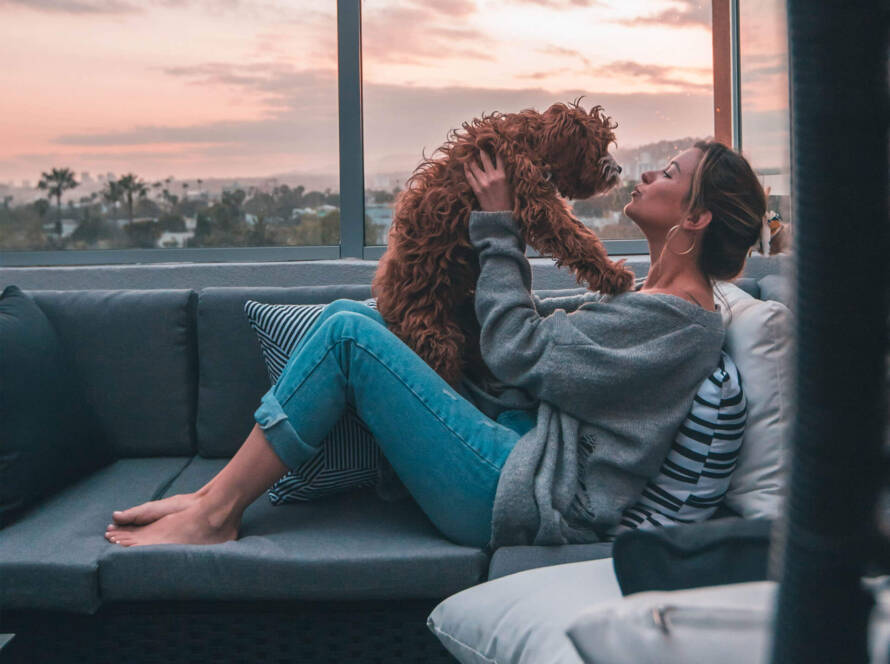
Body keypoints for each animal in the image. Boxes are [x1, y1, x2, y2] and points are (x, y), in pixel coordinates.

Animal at [372, 100, 636, 386]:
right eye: (599, 146)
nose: (619, 170)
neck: (530, 143)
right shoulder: (536, 202)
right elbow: (575, 237)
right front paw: (613, 275)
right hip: (434, 334)